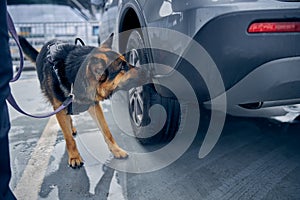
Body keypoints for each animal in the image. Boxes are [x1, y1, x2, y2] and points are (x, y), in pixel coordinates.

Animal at [19, 34, 145, 169]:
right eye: (122, 67)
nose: (148, 70)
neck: (74, 76)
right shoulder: (59, 107)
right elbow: (69, 138)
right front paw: (74, 157)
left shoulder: (94, 105)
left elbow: (106, 131)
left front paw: (116, 150)